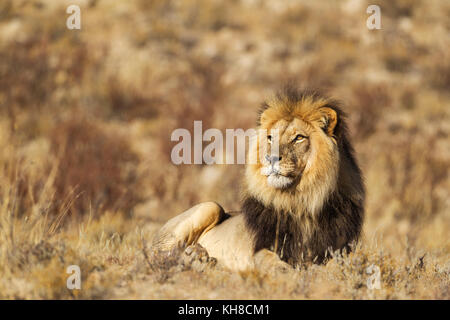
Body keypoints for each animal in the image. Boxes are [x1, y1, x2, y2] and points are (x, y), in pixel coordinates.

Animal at [151, 88, 366, 272]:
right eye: (270, 137)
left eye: (298, 137)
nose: (270, 158)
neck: (300, 201)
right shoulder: (261, 247)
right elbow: (271, 261)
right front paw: (287, 272)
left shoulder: (339, 247)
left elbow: (346, 261)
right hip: (210, 206)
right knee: (159, 255)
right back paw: (195, 256)